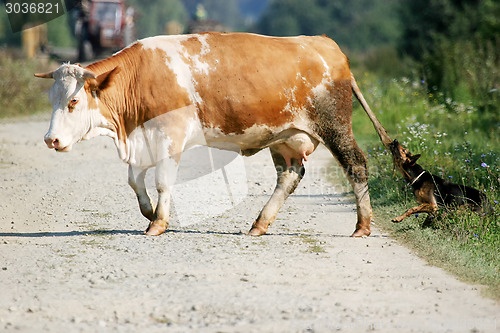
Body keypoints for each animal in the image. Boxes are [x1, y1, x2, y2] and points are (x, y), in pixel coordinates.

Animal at [35, 32, 392, 236]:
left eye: (73, 101)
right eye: (52, 99)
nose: (51, 140)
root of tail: (326, 44)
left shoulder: (170, 135)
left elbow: (163, 180)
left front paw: (158, 223)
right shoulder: (143, 139)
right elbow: (135, 180)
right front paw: (149, 212)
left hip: (335, 127)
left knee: (356, 165)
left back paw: (362, 226)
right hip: (286, 137)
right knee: (290, 176)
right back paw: (259, 224)